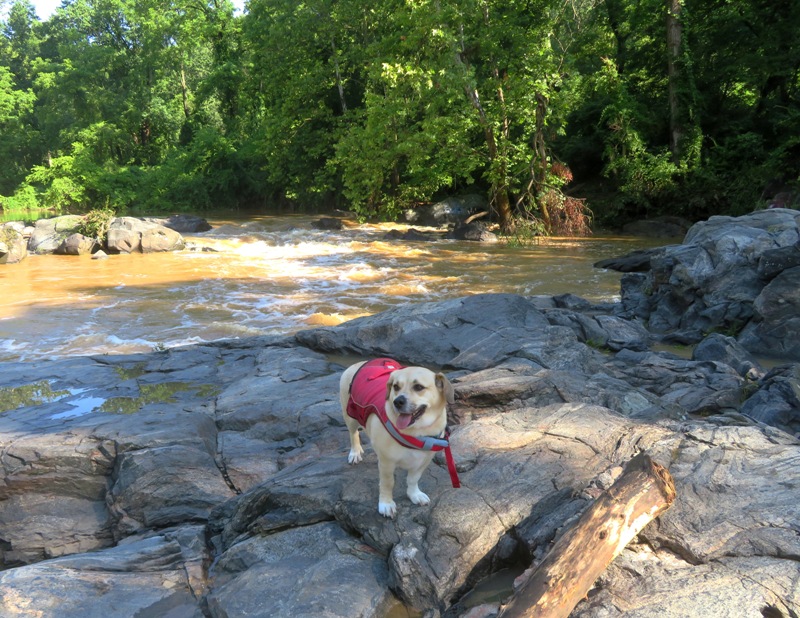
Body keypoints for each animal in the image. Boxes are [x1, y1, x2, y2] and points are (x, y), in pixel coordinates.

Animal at [340, 356, 460, 516]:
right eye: (396, 387)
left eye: (418, 387)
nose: (397, 401)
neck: (417, 430)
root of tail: (360, 363)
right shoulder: (387, 463)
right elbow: (388, 483)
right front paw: (386, 503)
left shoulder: (424, 460)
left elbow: (413, 479)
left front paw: (414, 494)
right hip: (350, 416)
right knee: (353, 434)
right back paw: (355, 453)